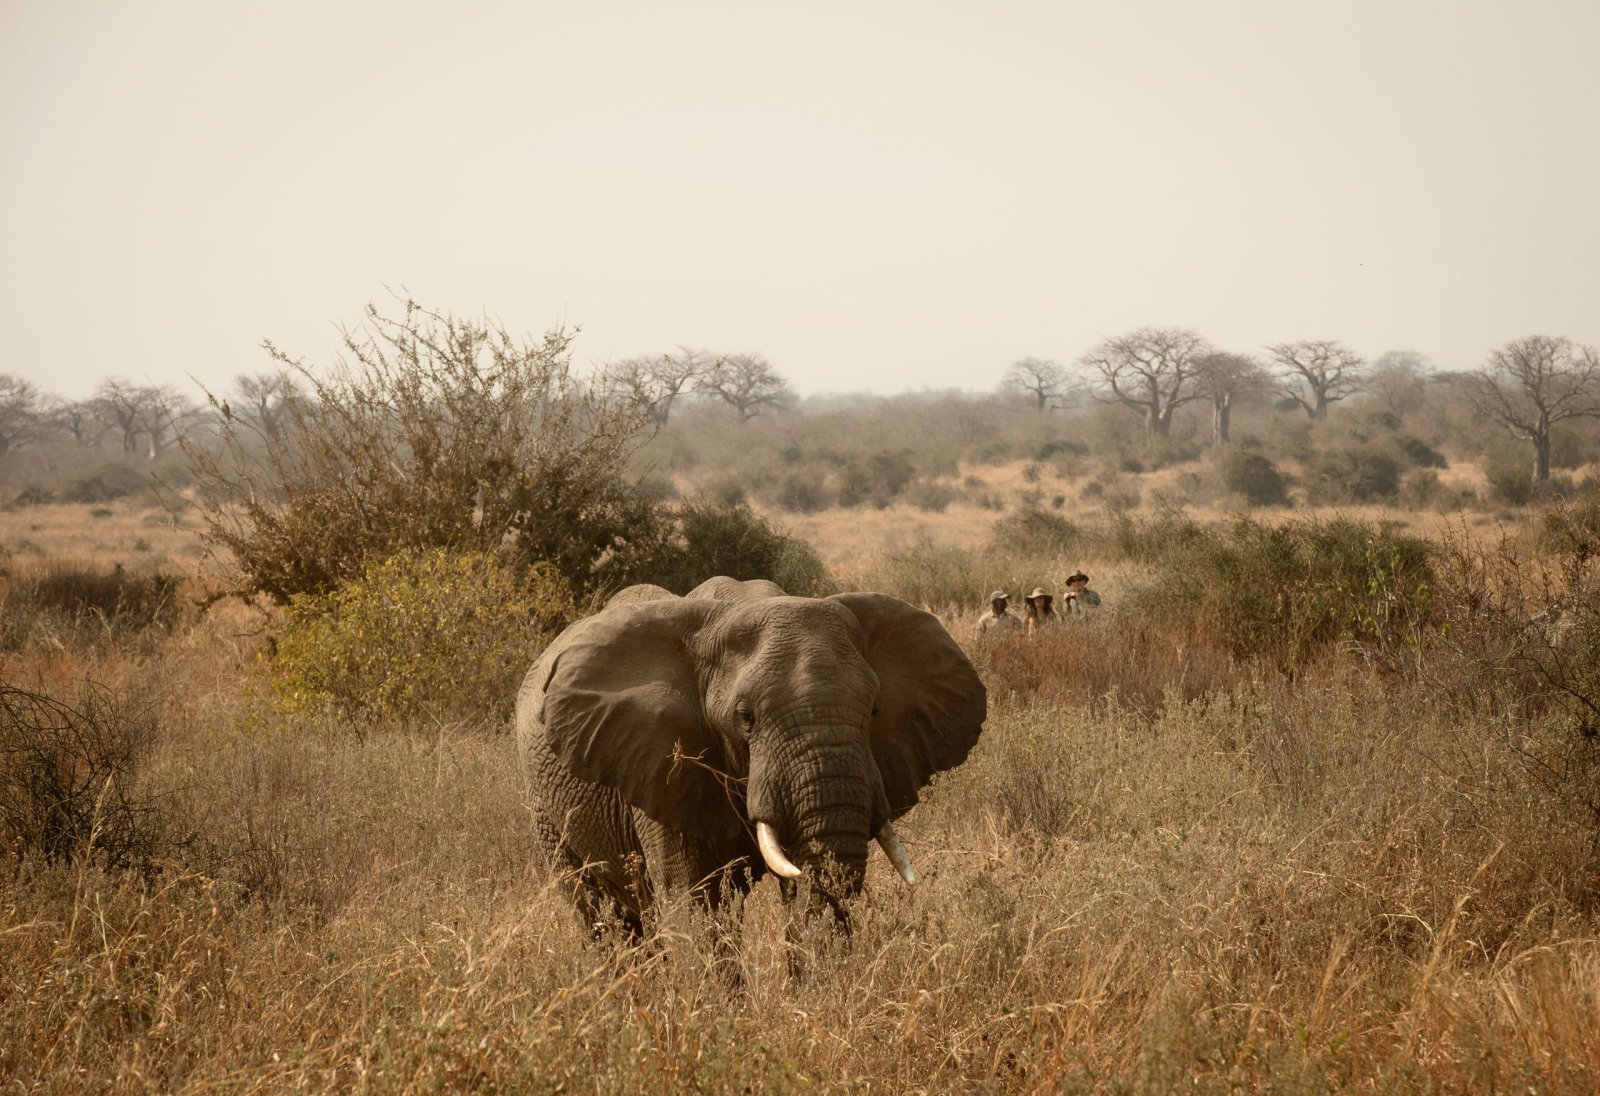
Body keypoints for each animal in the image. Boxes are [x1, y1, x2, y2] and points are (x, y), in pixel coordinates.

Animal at [515, 569, 985, 934]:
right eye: (745, 717)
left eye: (873, 711)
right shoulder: (658, 764)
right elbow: (692, 901)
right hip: (545, 812)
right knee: (602, 916)